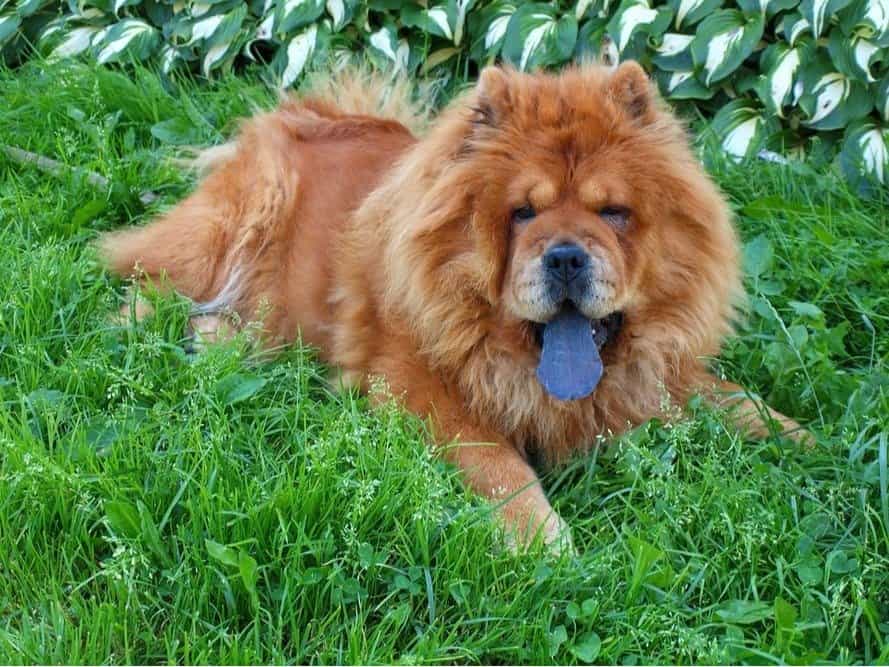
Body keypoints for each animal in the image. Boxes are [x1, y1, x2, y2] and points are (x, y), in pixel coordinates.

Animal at [100, 60, 808, 552]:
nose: (566, 258)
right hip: (234, 226)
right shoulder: (415, 386)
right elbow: (500, 465)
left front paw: (808, 441)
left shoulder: (663, 374)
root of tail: (304, 113)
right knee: (142, 276)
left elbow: (734, 399)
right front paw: (545, 541)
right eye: (522, 213)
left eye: (612, 213)